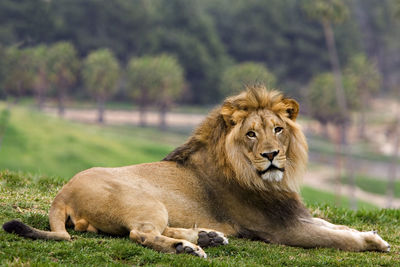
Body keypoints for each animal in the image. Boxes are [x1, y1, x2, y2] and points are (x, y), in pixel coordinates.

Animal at [3, 85, 390, 258]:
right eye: (251, 134)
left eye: (278, 129)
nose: (271, 155)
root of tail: (62, 194)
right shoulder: (282, 229)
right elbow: (336, 237)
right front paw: (373, 241)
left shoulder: (295, 215)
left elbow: (334, 225)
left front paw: (372, 233)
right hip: (147, 200)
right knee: (140, 234)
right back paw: (187, 248)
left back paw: (205, 236)